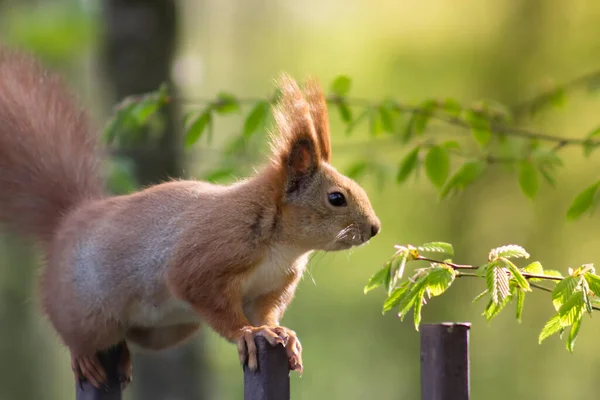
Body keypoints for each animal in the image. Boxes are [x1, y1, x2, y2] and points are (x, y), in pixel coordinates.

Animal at [0, 47, 380, 388]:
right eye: (336, 198)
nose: (375, 229)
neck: (284, 246)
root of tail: (68, 221)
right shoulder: (208, 259)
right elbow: (206, 297)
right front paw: (247, 333)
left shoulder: (270, 287)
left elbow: (267, 313)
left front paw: (280, 332)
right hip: (85, 311)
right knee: (80, 335)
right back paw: (83, 357)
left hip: (165, 331)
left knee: (131, 339)